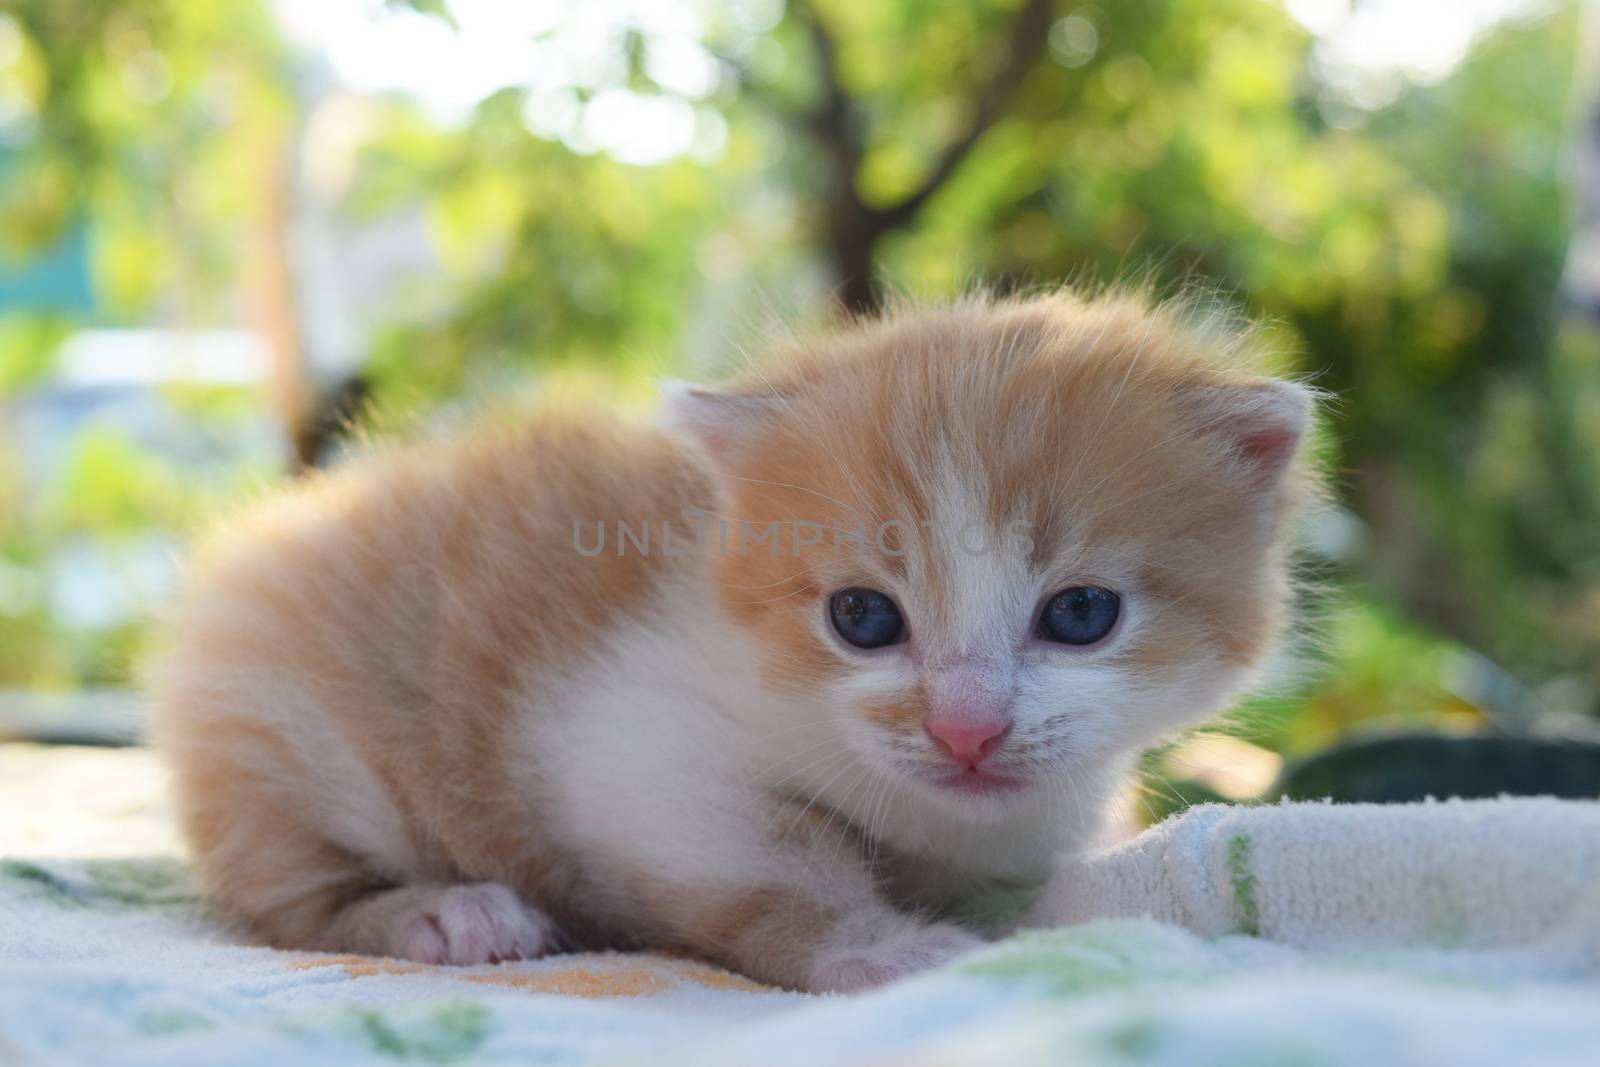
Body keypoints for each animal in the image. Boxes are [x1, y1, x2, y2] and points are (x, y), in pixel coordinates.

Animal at [150, 292, 1318, 991]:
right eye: (862, 618)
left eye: (1080, 614)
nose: (966, 728)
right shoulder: (633, 739)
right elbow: (775, 861)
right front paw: (883, 947)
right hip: (285, 732)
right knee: (288, 901)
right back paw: (448, 913)